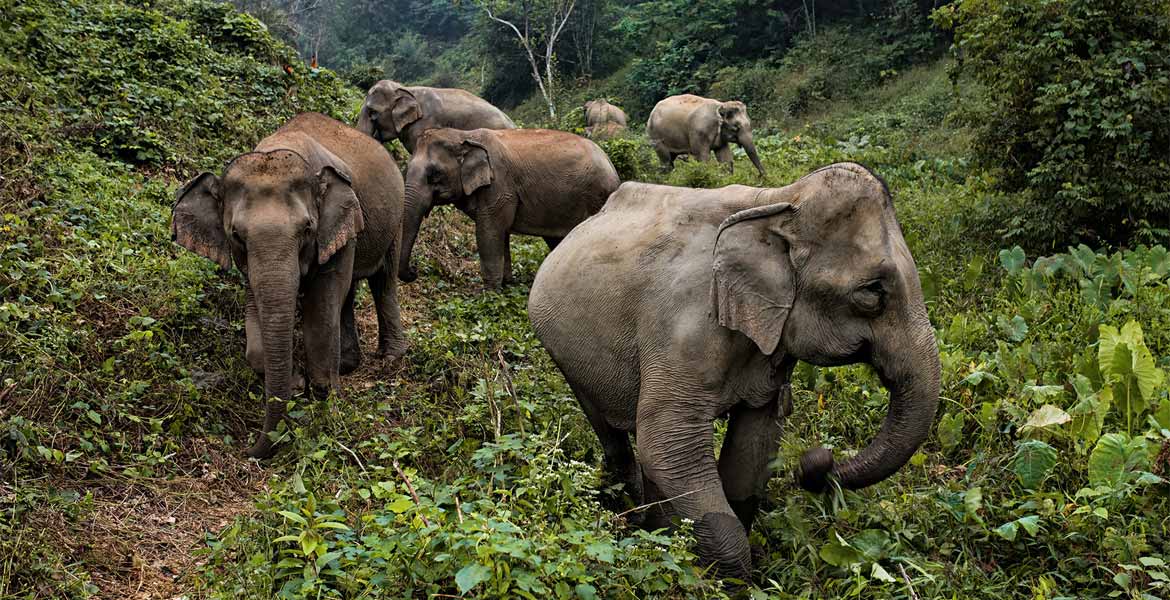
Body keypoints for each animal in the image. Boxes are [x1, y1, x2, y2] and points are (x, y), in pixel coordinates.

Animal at [170, 112, 409, 458]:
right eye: (236, 235)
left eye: (307, 228)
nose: (249, 450)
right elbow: (258, 311)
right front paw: (296, 383)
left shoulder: (335, 221)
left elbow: (321, 304)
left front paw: (325, 398)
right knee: (349, 292)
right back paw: (348, 364)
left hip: (396, 216)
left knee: (383, 282)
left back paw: (390, 357)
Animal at [397, 128, 622, 290]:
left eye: (434, 175)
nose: (415, 270)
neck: (464, 135)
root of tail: (611, 165)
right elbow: (500, 233)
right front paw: (505, 284)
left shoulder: (499, 186)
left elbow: (488, 232)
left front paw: (490, 293)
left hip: (596, 196)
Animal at [531, 161, 940, 577]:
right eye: (873, 292)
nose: (813, 461)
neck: (778, 201)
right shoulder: (683, 326)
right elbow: (666, 441)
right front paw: (726, 579)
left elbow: (753, 442)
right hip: (561, 349)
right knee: (611, 430)